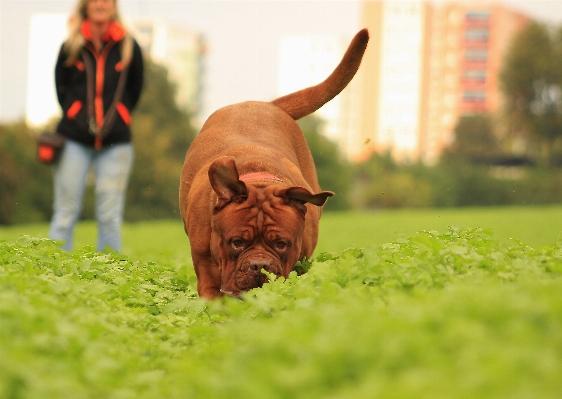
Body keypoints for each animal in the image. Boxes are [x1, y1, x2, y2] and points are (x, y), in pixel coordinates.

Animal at [177, 29, 366, 298]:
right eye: (237, 242)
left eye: (281, 243)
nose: (259, 265)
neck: (259, 178)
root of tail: (266, 103)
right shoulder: (207, 272)